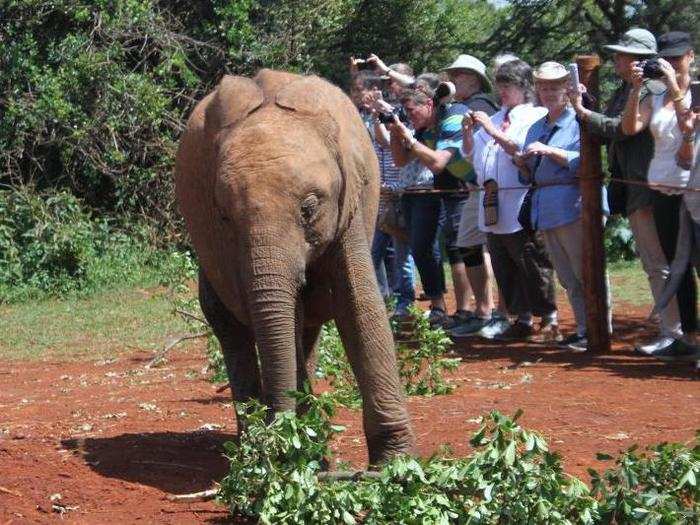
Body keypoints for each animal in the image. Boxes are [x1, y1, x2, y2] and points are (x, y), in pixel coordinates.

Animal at [175, 68, 412, 462]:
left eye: (309, 209)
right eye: (224, 217)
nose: (278, 439)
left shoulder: (349, 205)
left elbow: (359, 306)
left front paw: (396, 464)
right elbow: (284, 317)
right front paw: (298, 450)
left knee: (306, 329)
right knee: (231, 326)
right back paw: (253, 446)